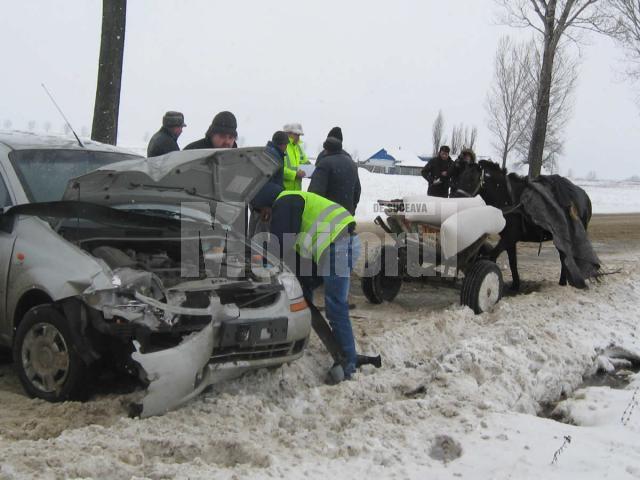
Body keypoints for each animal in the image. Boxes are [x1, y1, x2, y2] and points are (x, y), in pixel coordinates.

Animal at [452, 159, 592, 290]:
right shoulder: (509, 240)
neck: (507, 198)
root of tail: (585, 197)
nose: (456, 198)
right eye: (460, 177)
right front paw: (515, 285)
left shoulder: (509, 238)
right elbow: (512, 262)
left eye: (472, 179)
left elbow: (491, 256)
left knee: (566, 257)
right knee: (564, 257)